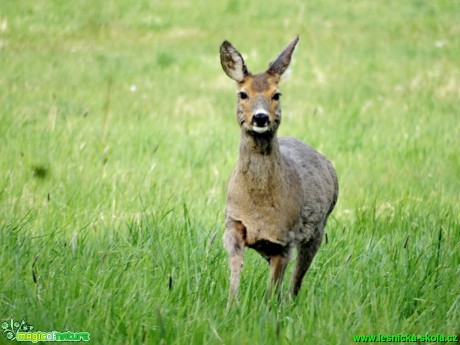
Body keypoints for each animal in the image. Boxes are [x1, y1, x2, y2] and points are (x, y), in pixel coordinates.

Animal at [221, 35, 340, 304]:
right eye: (242, 93)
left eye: (276, 94)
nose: (260, 118)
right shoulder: (233, 222)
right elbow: (235, 266)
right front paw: (232, 304)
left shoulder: (285, 238)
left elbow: (274, 288)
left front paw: (268, 309)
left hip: (317, 229)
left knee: (297, 278)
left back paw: (291, 302)